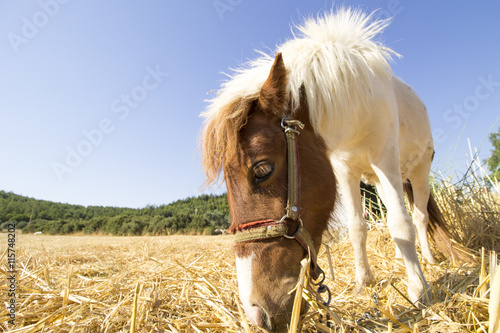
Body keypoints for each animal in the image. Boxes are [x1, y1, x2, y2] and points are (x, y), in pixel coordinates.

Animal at [201, 8, 470, 332]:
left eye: (263, 170)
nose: (256, 314)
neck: (355, 105)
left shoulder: (386, 158)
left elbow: (401, 225)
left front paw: (419, 291)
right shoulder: (345, 170)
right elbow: (358, 228)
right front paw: (364, 281)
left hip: (417, 173)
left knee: (418, 217)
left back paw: (427, 260)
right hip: (379, 181)